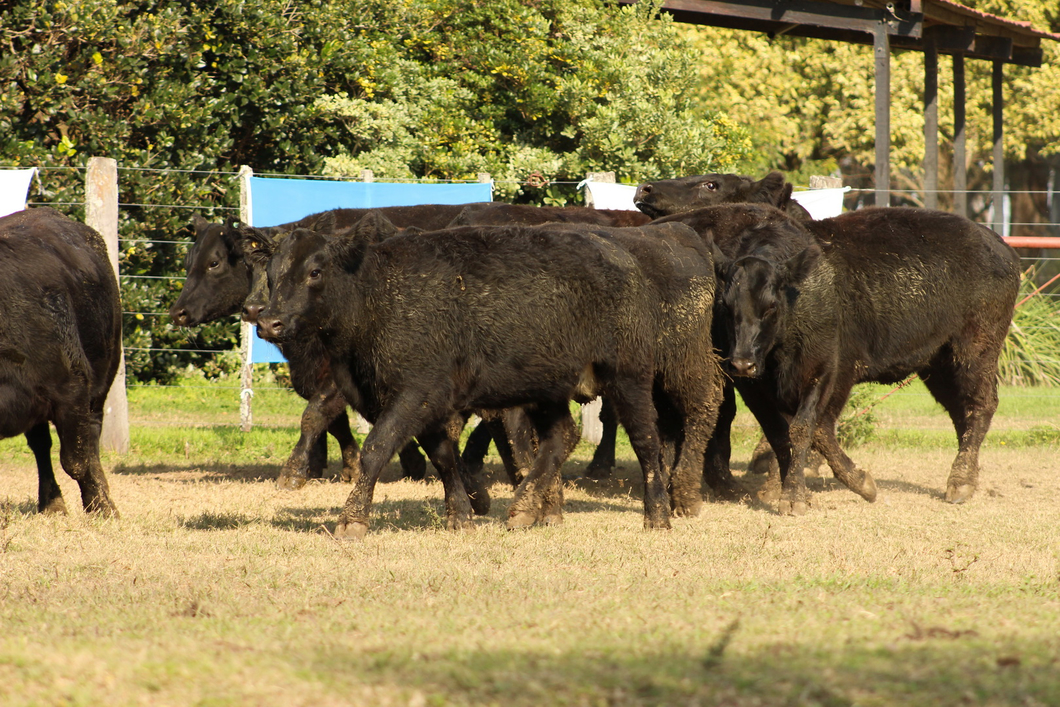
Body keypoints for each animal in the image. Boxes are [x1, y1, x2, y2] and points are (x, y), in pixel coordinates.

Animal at [0, 207, 121, 517]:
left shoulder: (72, 389)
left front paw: (99, 504)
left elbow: (76, 461)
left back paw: (102, 502)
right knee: (42, 447)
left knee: (91, 441)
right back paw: (51, 502)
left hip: (100, 382)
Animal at [695, 204, 1017, 515]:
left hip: (974, 353)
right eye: (725, 305)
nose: (743, 363)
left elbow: (808, 427)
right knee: (960, 411)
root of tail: (1000, 247)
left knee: (980, 405)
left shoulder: (829, 373)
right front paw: (779, 488)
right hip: (937, 365)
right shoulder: (755, 388)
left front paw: (835, 489)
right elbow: (781, 433)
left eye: (771, 306)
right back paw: (966, 478)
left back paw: (960, 484)